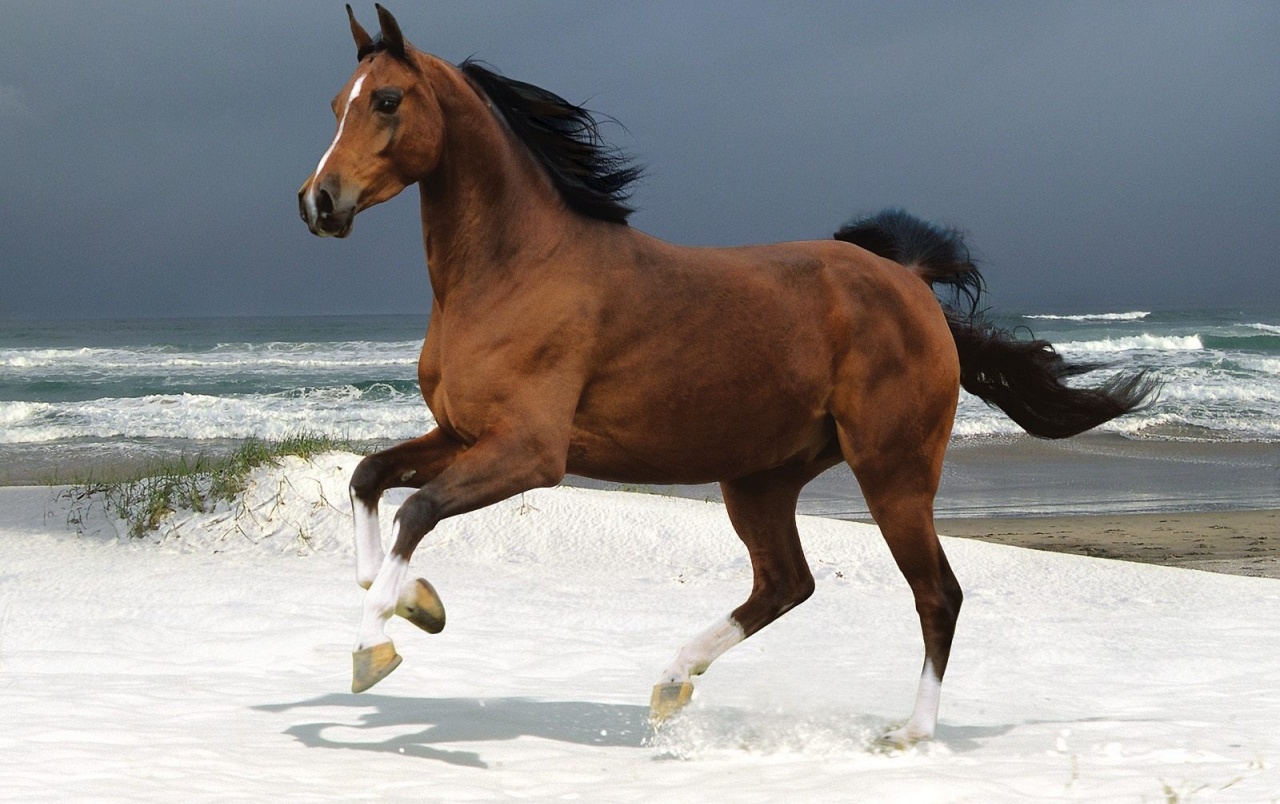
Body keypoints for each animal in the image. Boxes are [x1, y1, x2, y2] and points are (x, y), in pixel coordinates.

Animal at [297, 4, 1156, 745]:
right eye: (337, 103)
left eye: (386, 101)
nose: (319, 202)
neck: (514, 269)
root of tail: (908, 282)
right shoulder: (462, 433)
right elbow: (369, 479)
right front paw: (414, 604)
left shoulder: (530, 454)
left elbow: (417, 511)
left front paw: (375, 647)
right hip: (761, 478)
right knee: (787, 583)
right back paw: (672, 681)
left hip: (893, 471)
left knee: (935, 593)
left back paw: (908, 733)